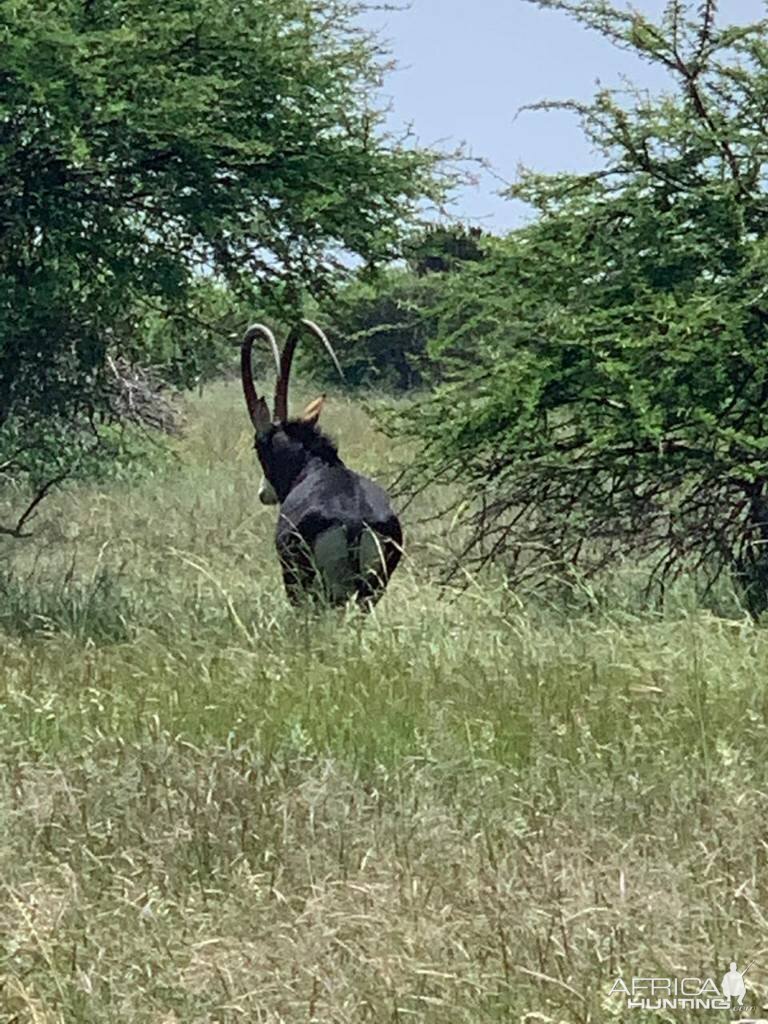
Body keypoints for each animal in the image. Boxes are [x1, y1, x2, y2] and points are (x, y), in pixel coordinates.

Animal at [241, 319, 405, 606]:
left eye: (257, 446)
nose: (264, 493)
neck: (315, 465)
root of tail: (354, 523)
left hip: (314, 584)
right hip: (372, 590)